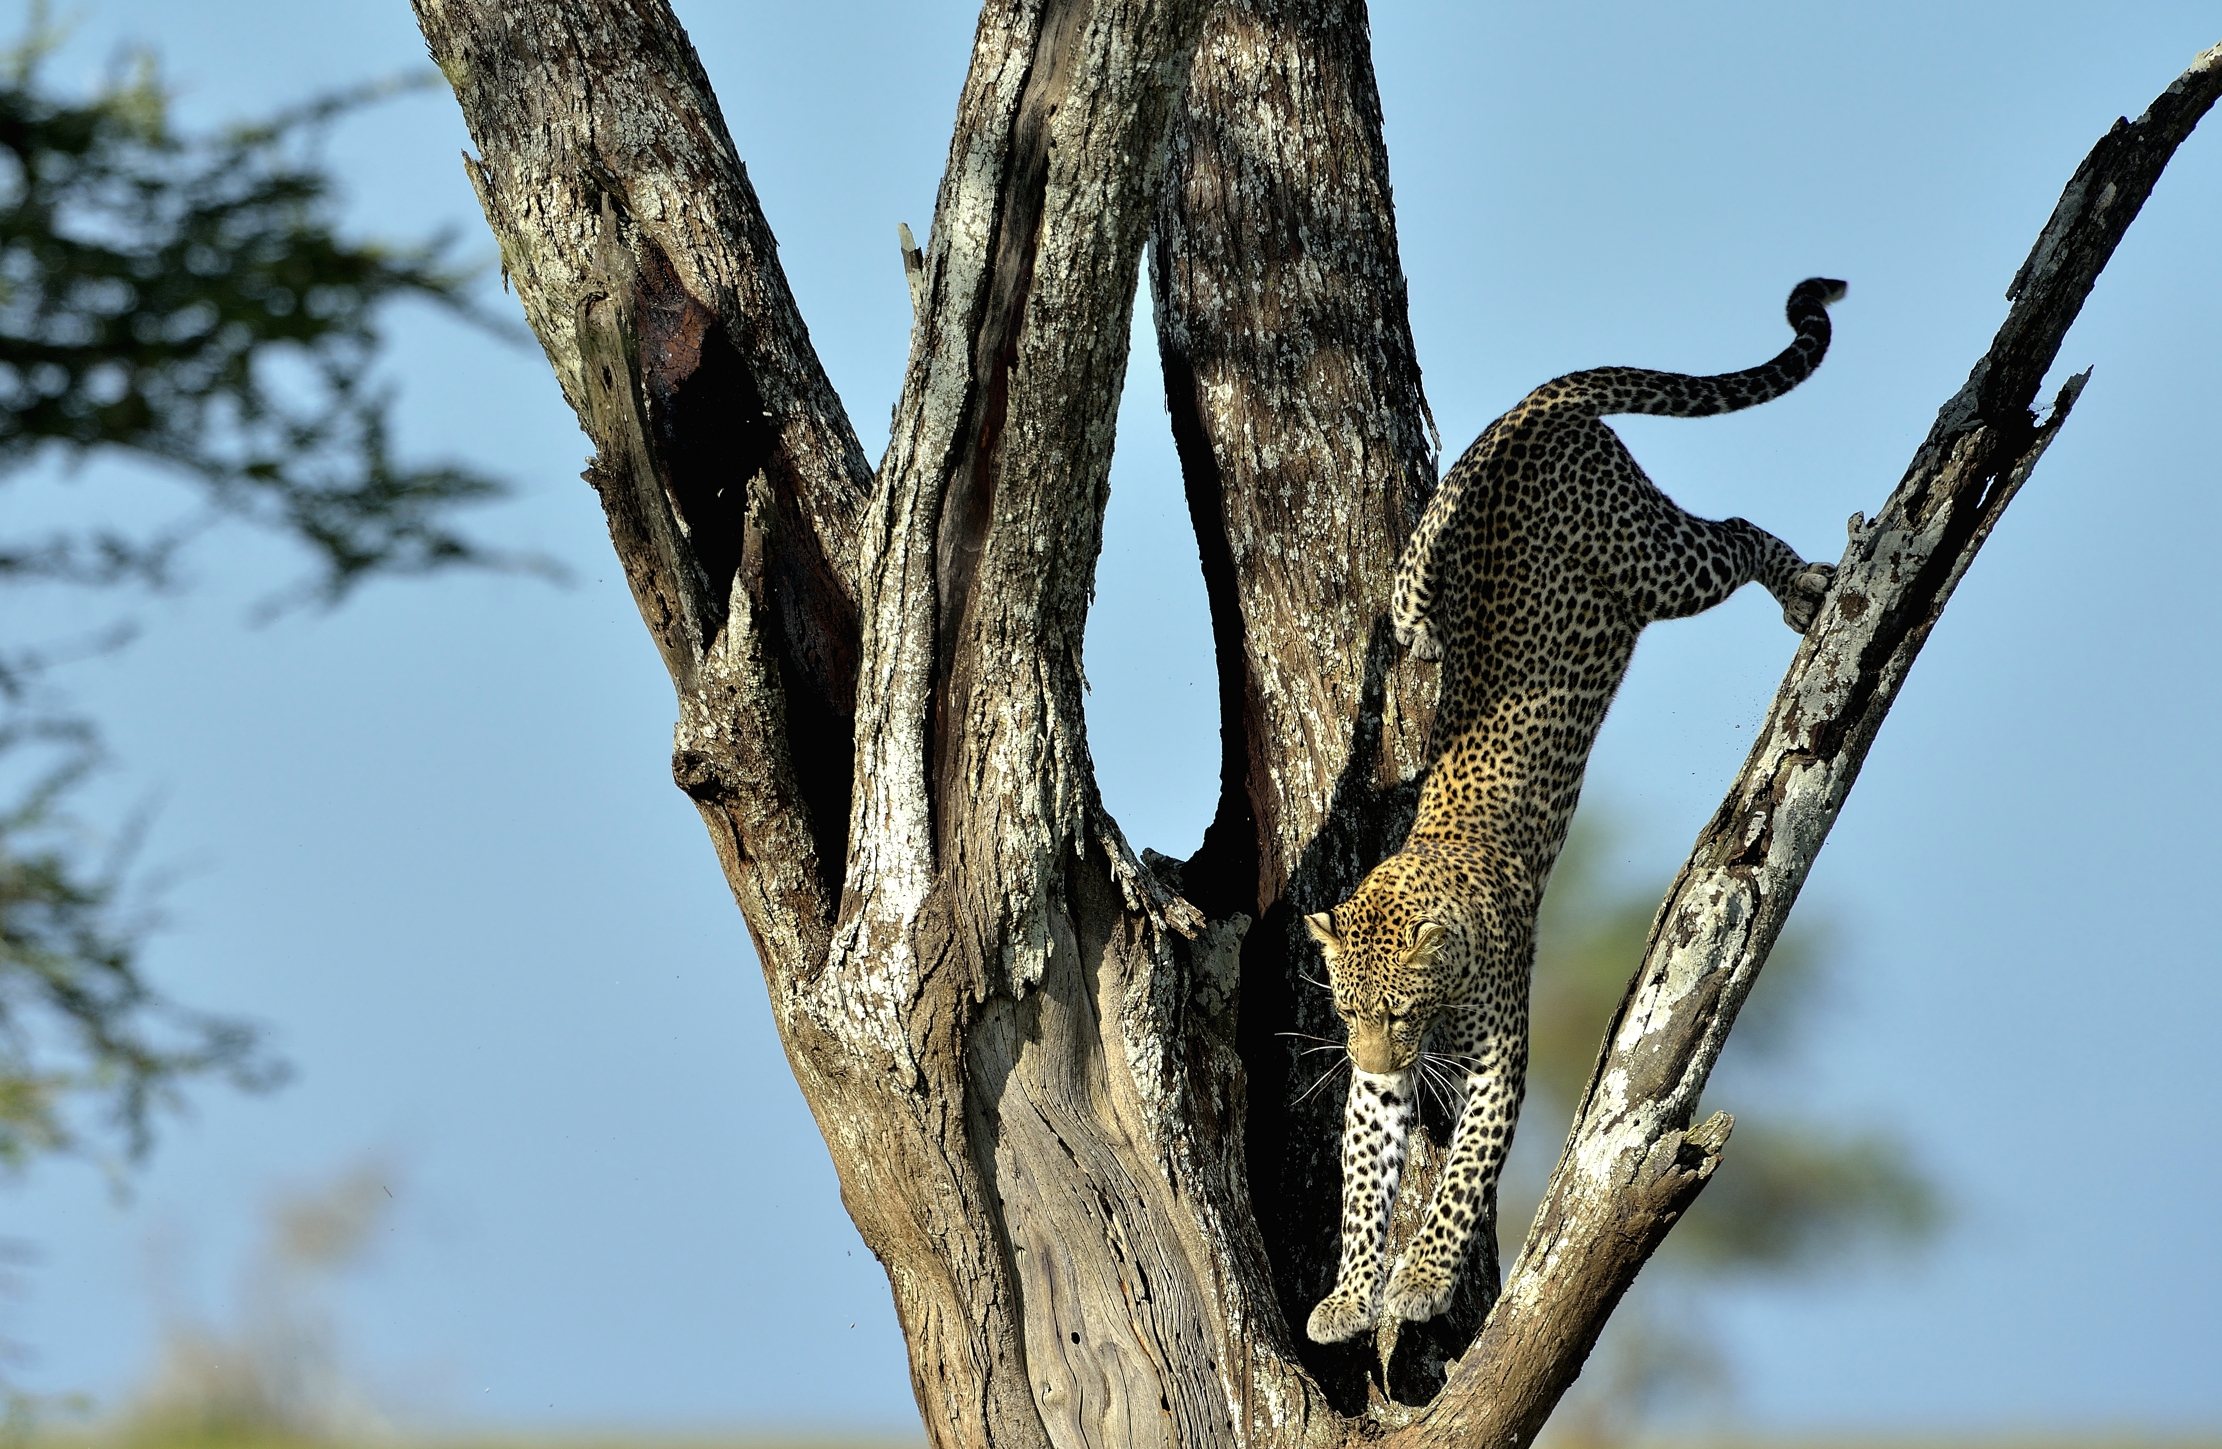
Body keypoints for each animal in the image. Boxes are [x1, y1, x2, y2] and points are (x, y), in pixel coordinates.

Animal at [1301, 277, 1847, 1345]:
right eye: (1347, 1011)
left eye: (1400, 1010)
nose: (1376, 1060)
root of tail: (1532, 411)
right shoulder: (1378, 1092)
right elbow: (1359, 1182)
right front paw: (1350, 1291)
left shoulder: (1495, 1064)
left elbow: (1463, 1178)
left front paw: (1422, 1279)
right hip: (1414, 598)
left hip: (1653, 563)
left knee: (1730, 531)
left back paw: (1806, 586)